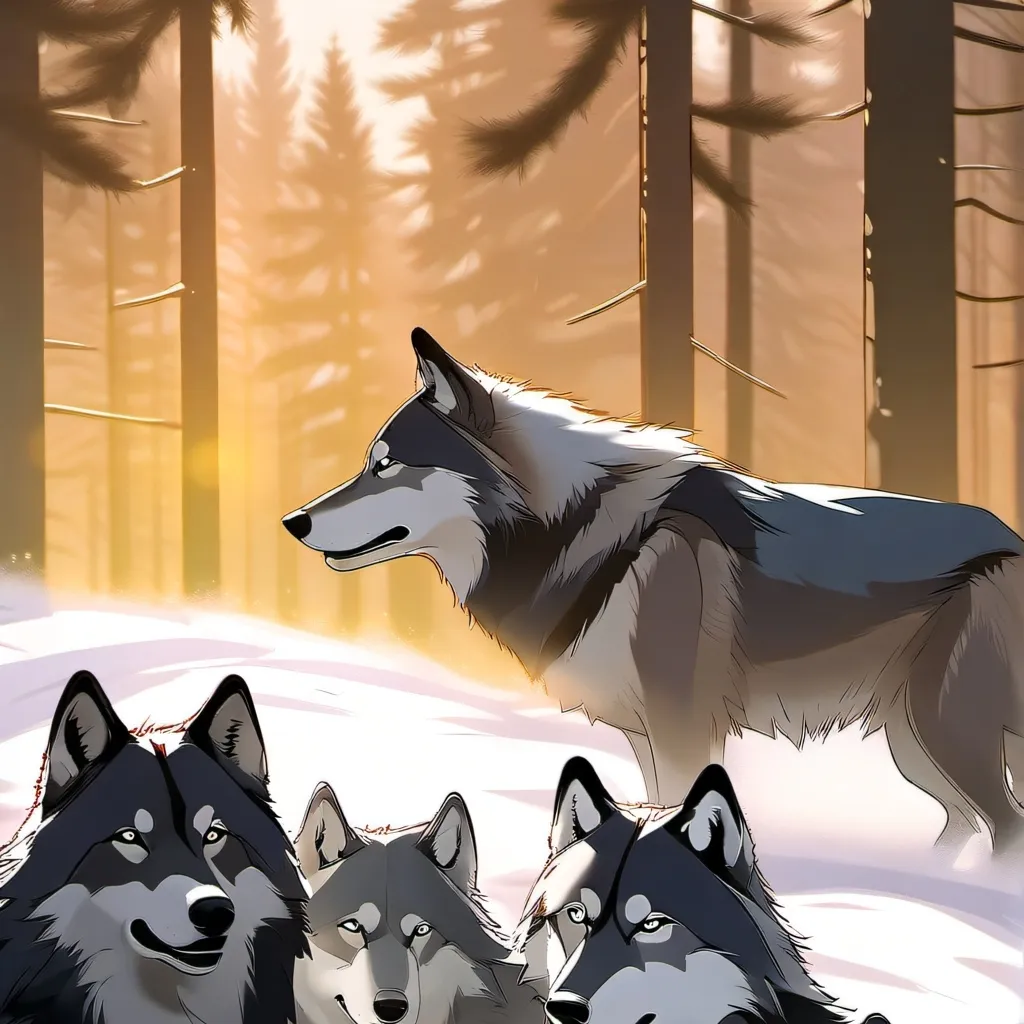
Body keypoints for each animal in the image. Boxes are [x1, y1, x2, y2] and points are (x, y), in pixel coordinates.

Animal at [282, 326, 1024, 865]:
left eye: (385, 466)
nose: (294, 522)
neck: (585, 534)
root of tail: (1013, 537)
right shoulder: (646, 739)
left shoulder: (681, 728)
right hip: (916, 743)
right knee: (968, 823)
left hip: (942, 732)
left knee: (1005, 825)